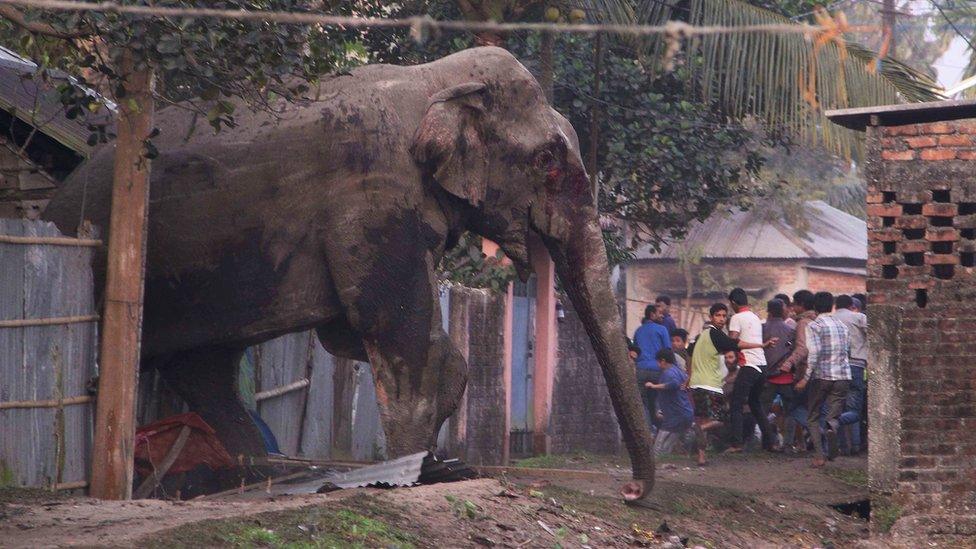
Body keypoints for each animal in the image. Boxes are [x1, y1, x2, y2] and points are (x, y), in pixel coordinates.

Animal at [43, 47, 656, 498]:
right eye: (547, 161)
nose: (629, 492)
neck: (431, 80)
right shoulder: (372, 195)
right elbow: (390, 324)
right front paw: (419, 471)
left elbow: (351, 333)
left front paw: (434, 462)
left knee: (206, 366)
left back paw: (256, 471)